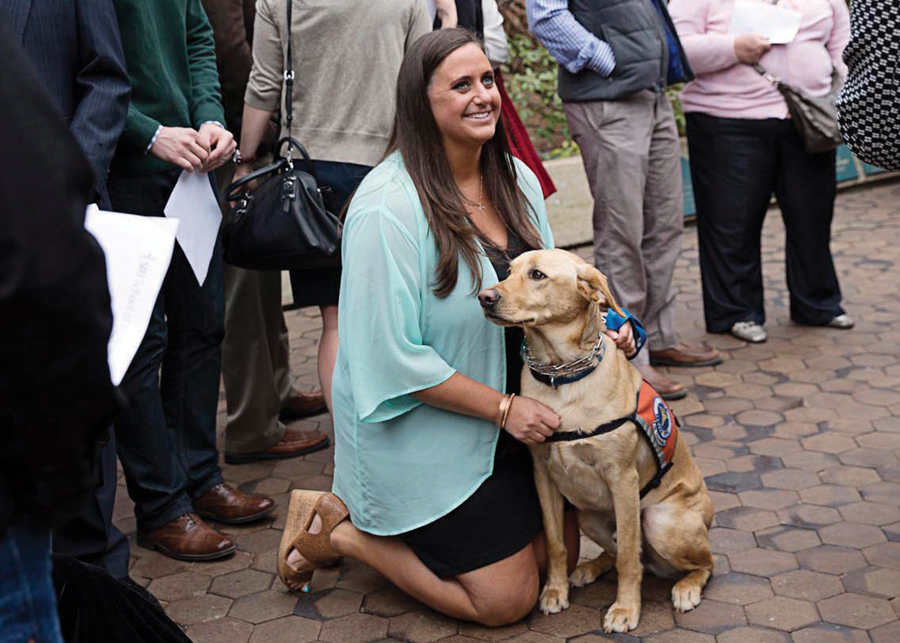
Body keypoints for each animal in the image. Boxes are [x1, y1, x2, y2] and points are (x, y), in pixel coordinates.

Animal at [482, 250, 712, 632]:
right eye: (509, 271)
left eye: (538, 275)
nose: (485, 297)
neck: (561, 377)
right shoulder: (542, 473)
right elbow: (557, 543)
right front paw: (555, 591)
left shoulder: (622, 478)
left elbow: (629, 560)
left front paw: (625, 609)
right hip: (589, 516)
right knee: (619, 552)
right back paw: (588, 568)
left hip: (660, 521)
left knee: (701, 563)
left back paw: (686, 588)